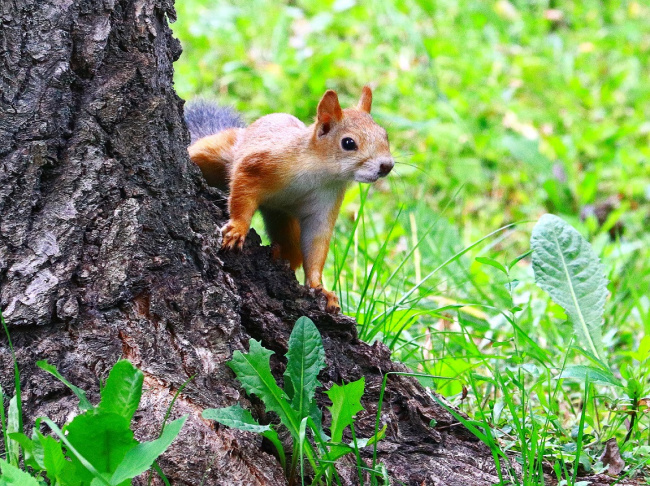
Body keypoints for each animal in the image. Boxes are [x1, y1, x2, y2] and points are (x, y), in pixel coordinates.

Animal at [185, 87, 392, 314]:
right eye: (348, 143)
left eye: (385, 135)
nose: (387, 166)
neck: (322, 172)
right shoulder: (259, 165)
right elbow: (242, 192)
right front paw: (238, 229)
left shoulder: (326, 201)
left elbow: (316, 242)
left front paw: (320, 287)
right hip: (219, 150)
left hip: (282, 218)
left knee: (293, 248)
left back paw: (278, 255)